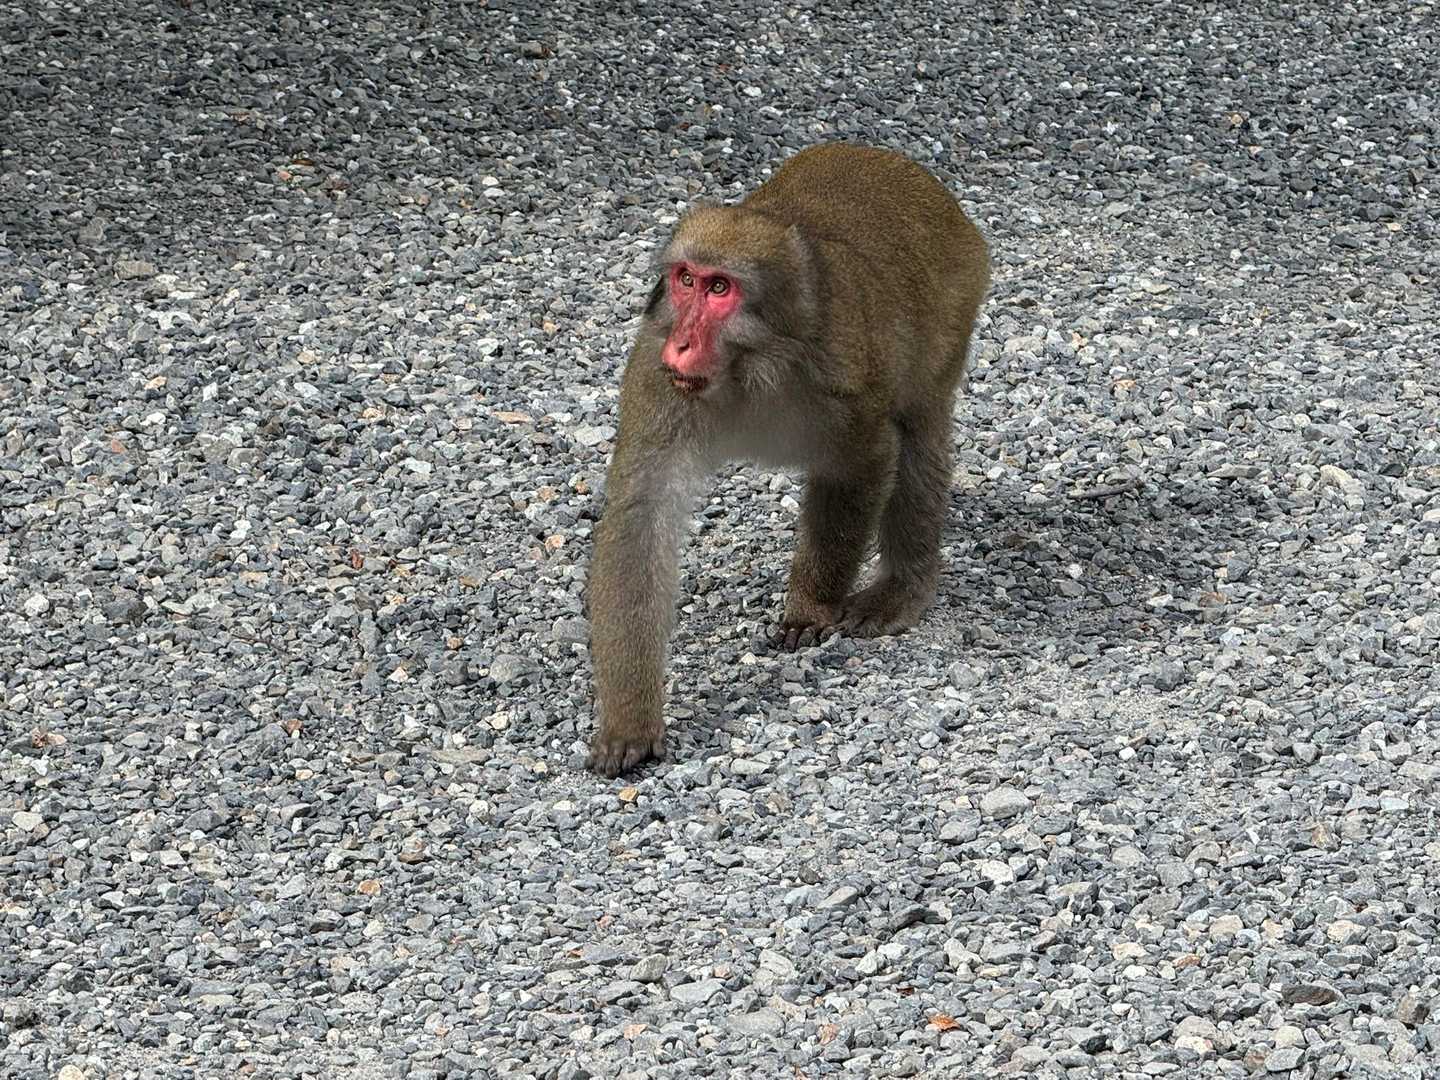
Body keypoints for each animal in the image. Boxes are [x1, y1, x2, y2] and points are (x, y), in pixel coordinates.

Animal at [585, 142, 990, 778]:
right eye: (685, 280)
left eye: (720, 288)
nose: (683, 343)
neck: (748, 366)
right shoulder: (655, 370)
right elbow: (640, 515)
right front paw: (631, 720)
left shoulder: (839, 381)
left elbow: (865, 461)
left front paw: (810, 605)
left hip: (957, 298)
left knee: (920, 432)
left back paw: (903, 587)